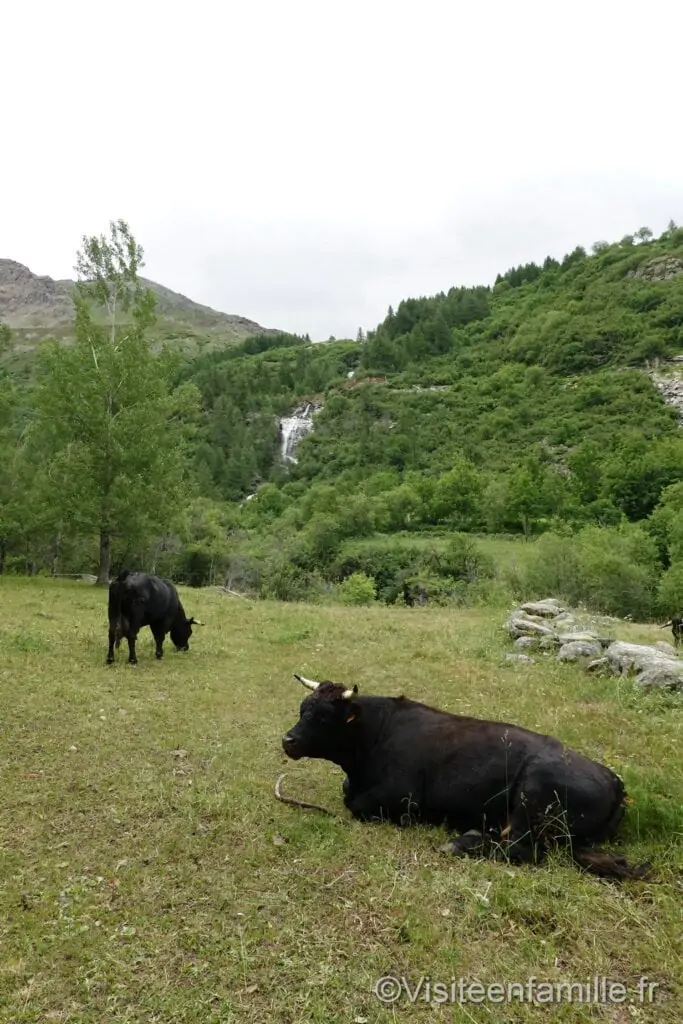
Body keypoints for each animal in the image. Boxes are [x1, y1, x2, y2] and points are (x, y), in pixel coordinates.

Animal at [282, 671, 651, 880]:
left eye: (325, 717)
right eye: (302, 710)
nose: (288, 740)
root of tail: (615, 782)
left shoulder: (402, 798)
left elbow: (356, 805)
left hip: (532, 797)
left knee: (522, 850)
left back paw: (463, 842)